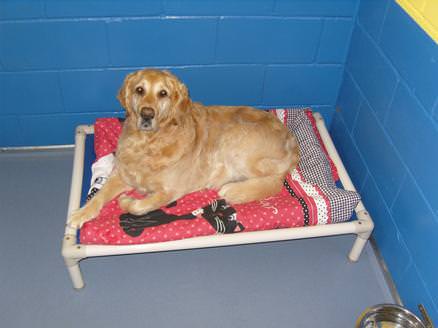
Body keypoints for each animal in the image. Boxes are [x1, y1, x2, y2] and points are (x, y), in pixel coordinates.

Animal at [68, 69, 300, 228]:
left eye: (163, 93)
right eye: (139, 90)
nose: (146, 114)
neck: (149, 142)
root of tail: (291, 139)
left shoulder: (170, 191)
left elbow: (140, 206)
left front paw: (126, 200)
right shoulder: (121, 174)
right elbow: (99, 195)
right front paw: (81, 212)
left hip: (236, 143)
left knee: (275, 182)